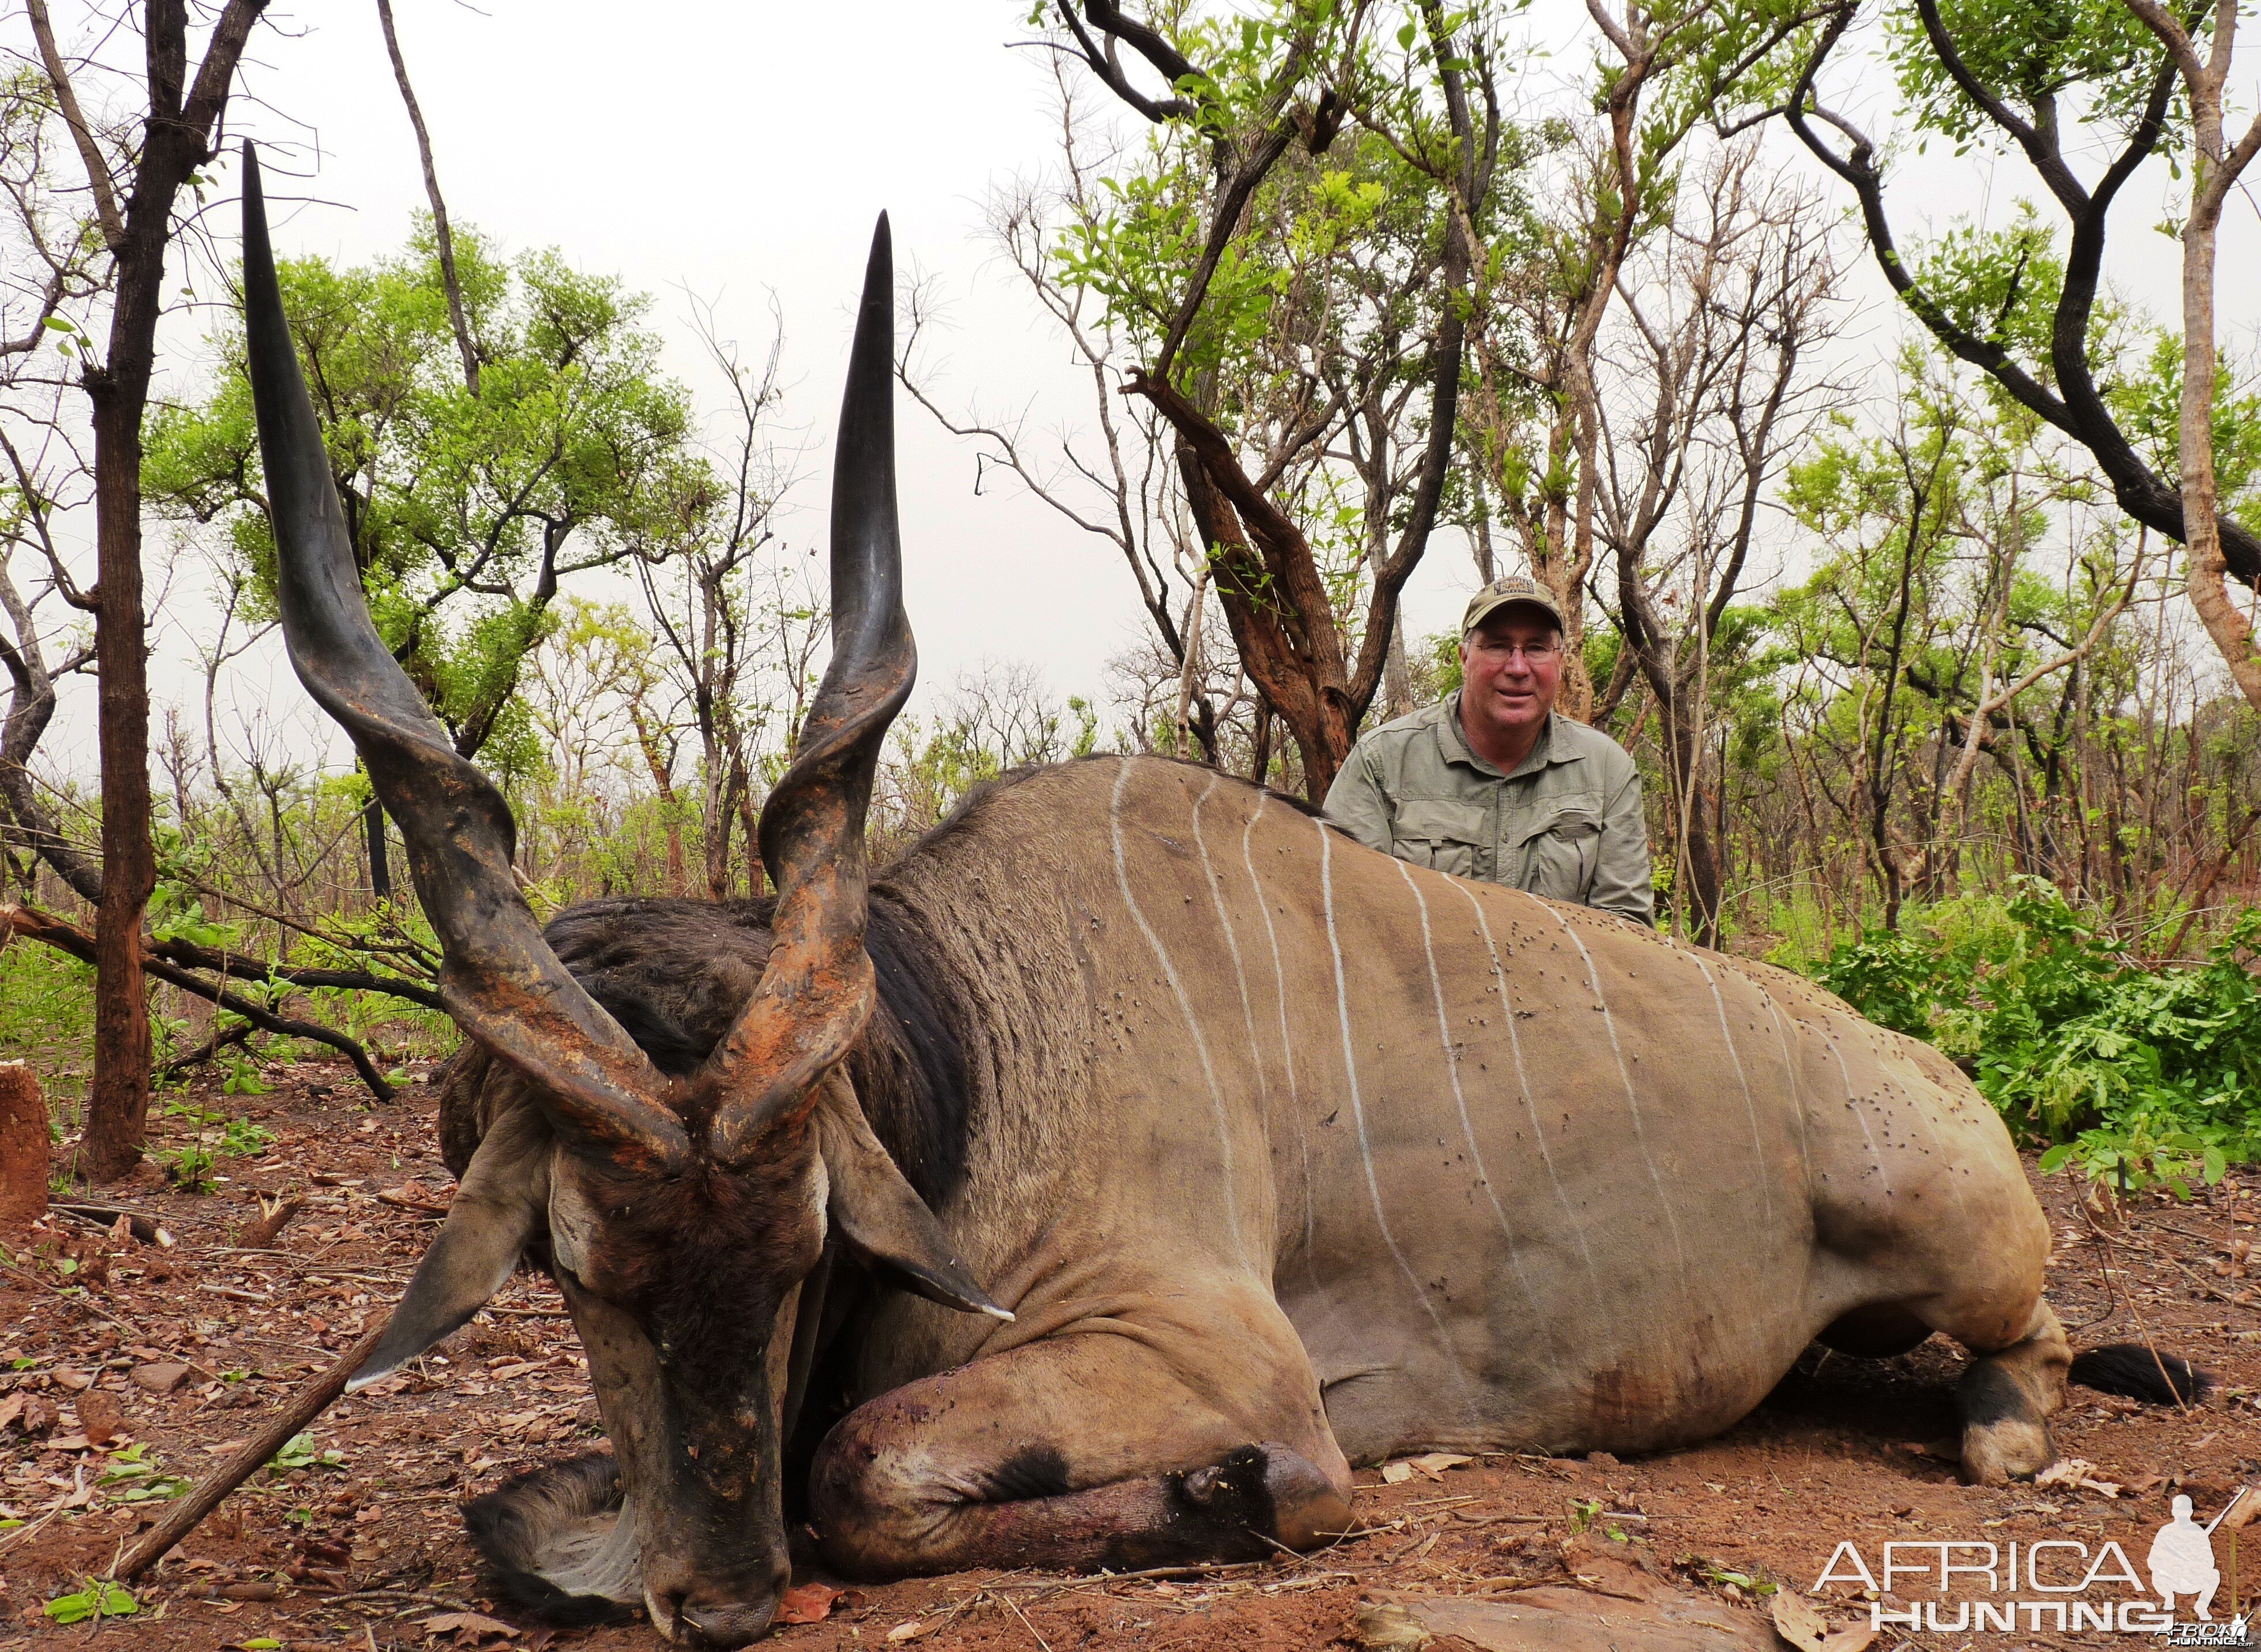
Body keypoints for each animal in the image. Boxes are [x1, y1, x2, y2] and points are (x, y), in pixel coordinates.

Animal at [238, 149, 2198, 1645]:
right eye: (571, 1270)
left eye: (804, 1248)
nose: (718, 1601)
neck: (972, 1056)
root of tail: (1915, 1073)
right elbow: (531, 1513)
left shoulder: (1202, 1345)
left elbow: (866, 1465)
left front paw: (1254, 1497)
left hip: (1965, 1243)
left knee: (2026, 1352)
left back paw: (2001, 1435)